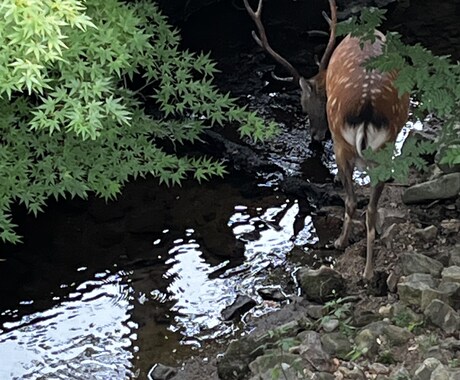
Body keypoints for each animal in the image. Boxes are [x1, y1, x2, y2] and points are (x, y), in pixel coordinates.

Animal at [244, 0, 410, 280]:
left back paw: (341, 243)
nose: (315, 138)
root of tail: (368, 105)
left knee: (351, 200)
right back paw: (368, 272)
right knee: (372, 207)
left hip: (343, 142)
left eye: (303, 104)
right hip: (388, 144)